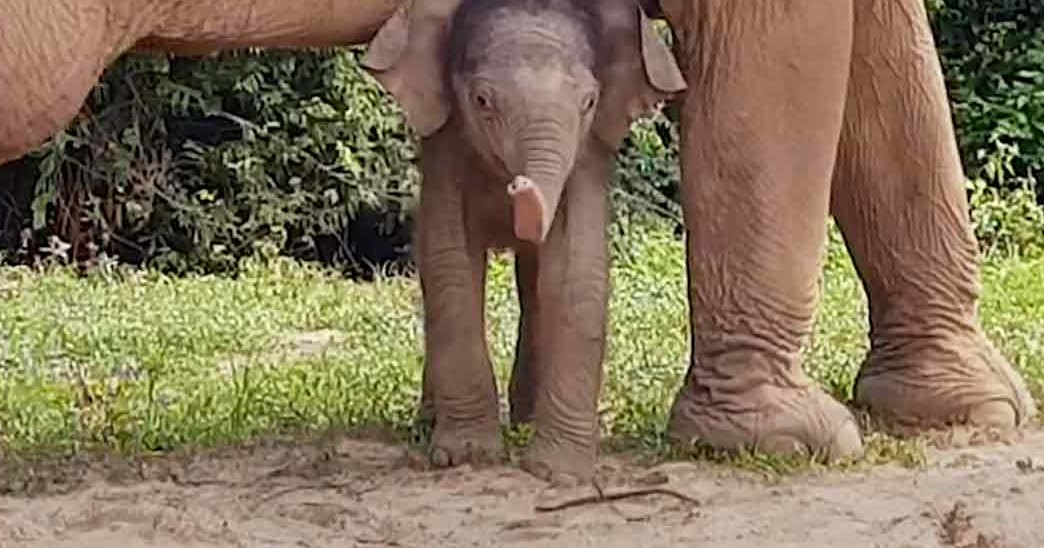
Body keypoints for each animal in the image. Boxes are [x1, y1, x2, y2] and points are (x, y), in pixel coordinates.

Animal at [360, 0, 686, 482]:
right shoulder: (445, 147)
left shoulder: (587, 155)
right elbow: (448, 261)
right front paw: (466, 456)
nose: (518, 188)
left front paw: (558, 473)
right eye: (481, 101)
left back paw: (526, 420)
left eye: (589, 102)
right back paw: (430, 424)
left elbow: (578, 266)